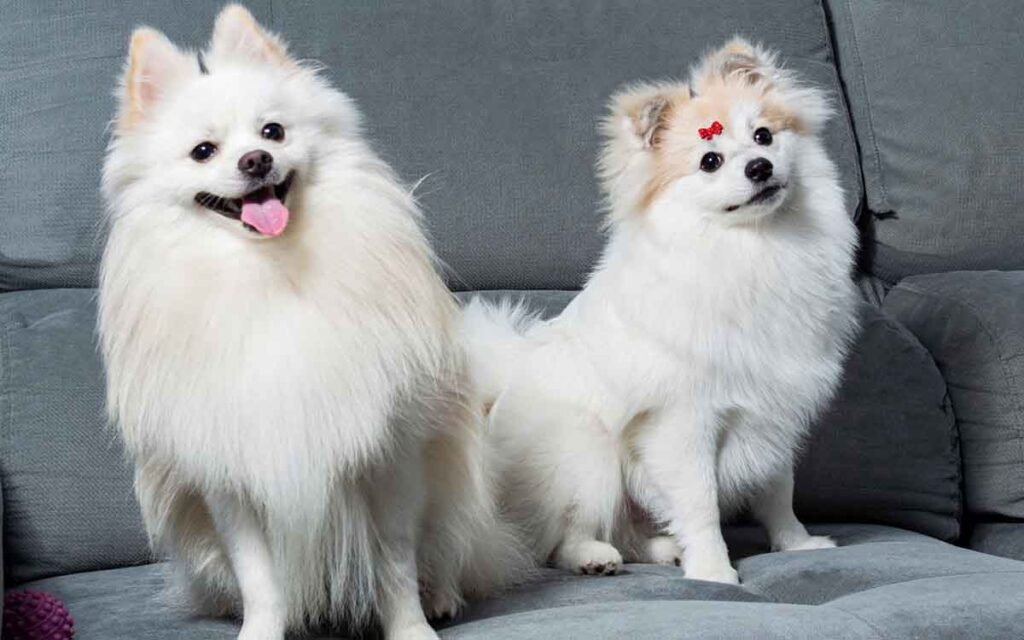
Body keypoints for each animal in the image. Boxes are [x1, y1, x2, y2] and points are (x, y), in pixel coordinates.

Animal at [98, 4, 524, 638]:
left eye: (273, 132)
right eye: (203, 151)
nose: (256, 161)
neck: (272, 272)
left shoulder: (389, 459)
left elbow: (395, 562)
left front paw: (411, 628)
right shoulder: (233, 481)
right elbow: (258, 575)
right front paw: (259, 630)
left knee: (451, 553)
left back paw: (443, 596)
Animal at [468, 38, 860, 585]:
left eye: (763, 135)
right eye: (710, 161)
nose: (759, 166)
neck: (754, 247)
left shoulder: (774, 412)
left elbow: (778, 492)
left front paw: (795, 544)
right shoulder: (682, 423)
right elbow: (700, 504)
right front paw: (714, 570)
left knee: (628, 533)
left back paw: (662, 549)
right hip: (587, 452)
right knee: (558, 538)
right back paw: (593, 557)